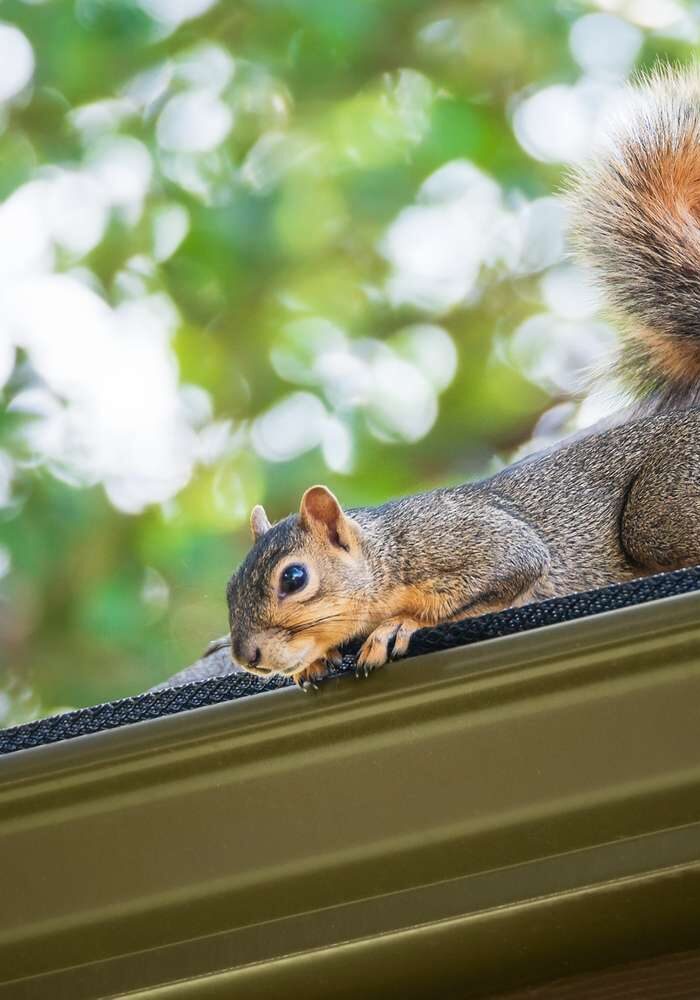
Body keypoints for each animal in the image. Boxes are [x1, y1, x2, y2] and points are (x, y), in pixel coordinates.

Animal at [226, 66, 700, 690]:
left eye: (294, 578)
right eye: (230, 589)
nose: (246, 655)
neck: (390, 554)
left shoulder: (479, 544)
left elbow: (504, 579)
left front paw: (395, 626)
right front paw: (318, 659)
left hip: (662, 510)